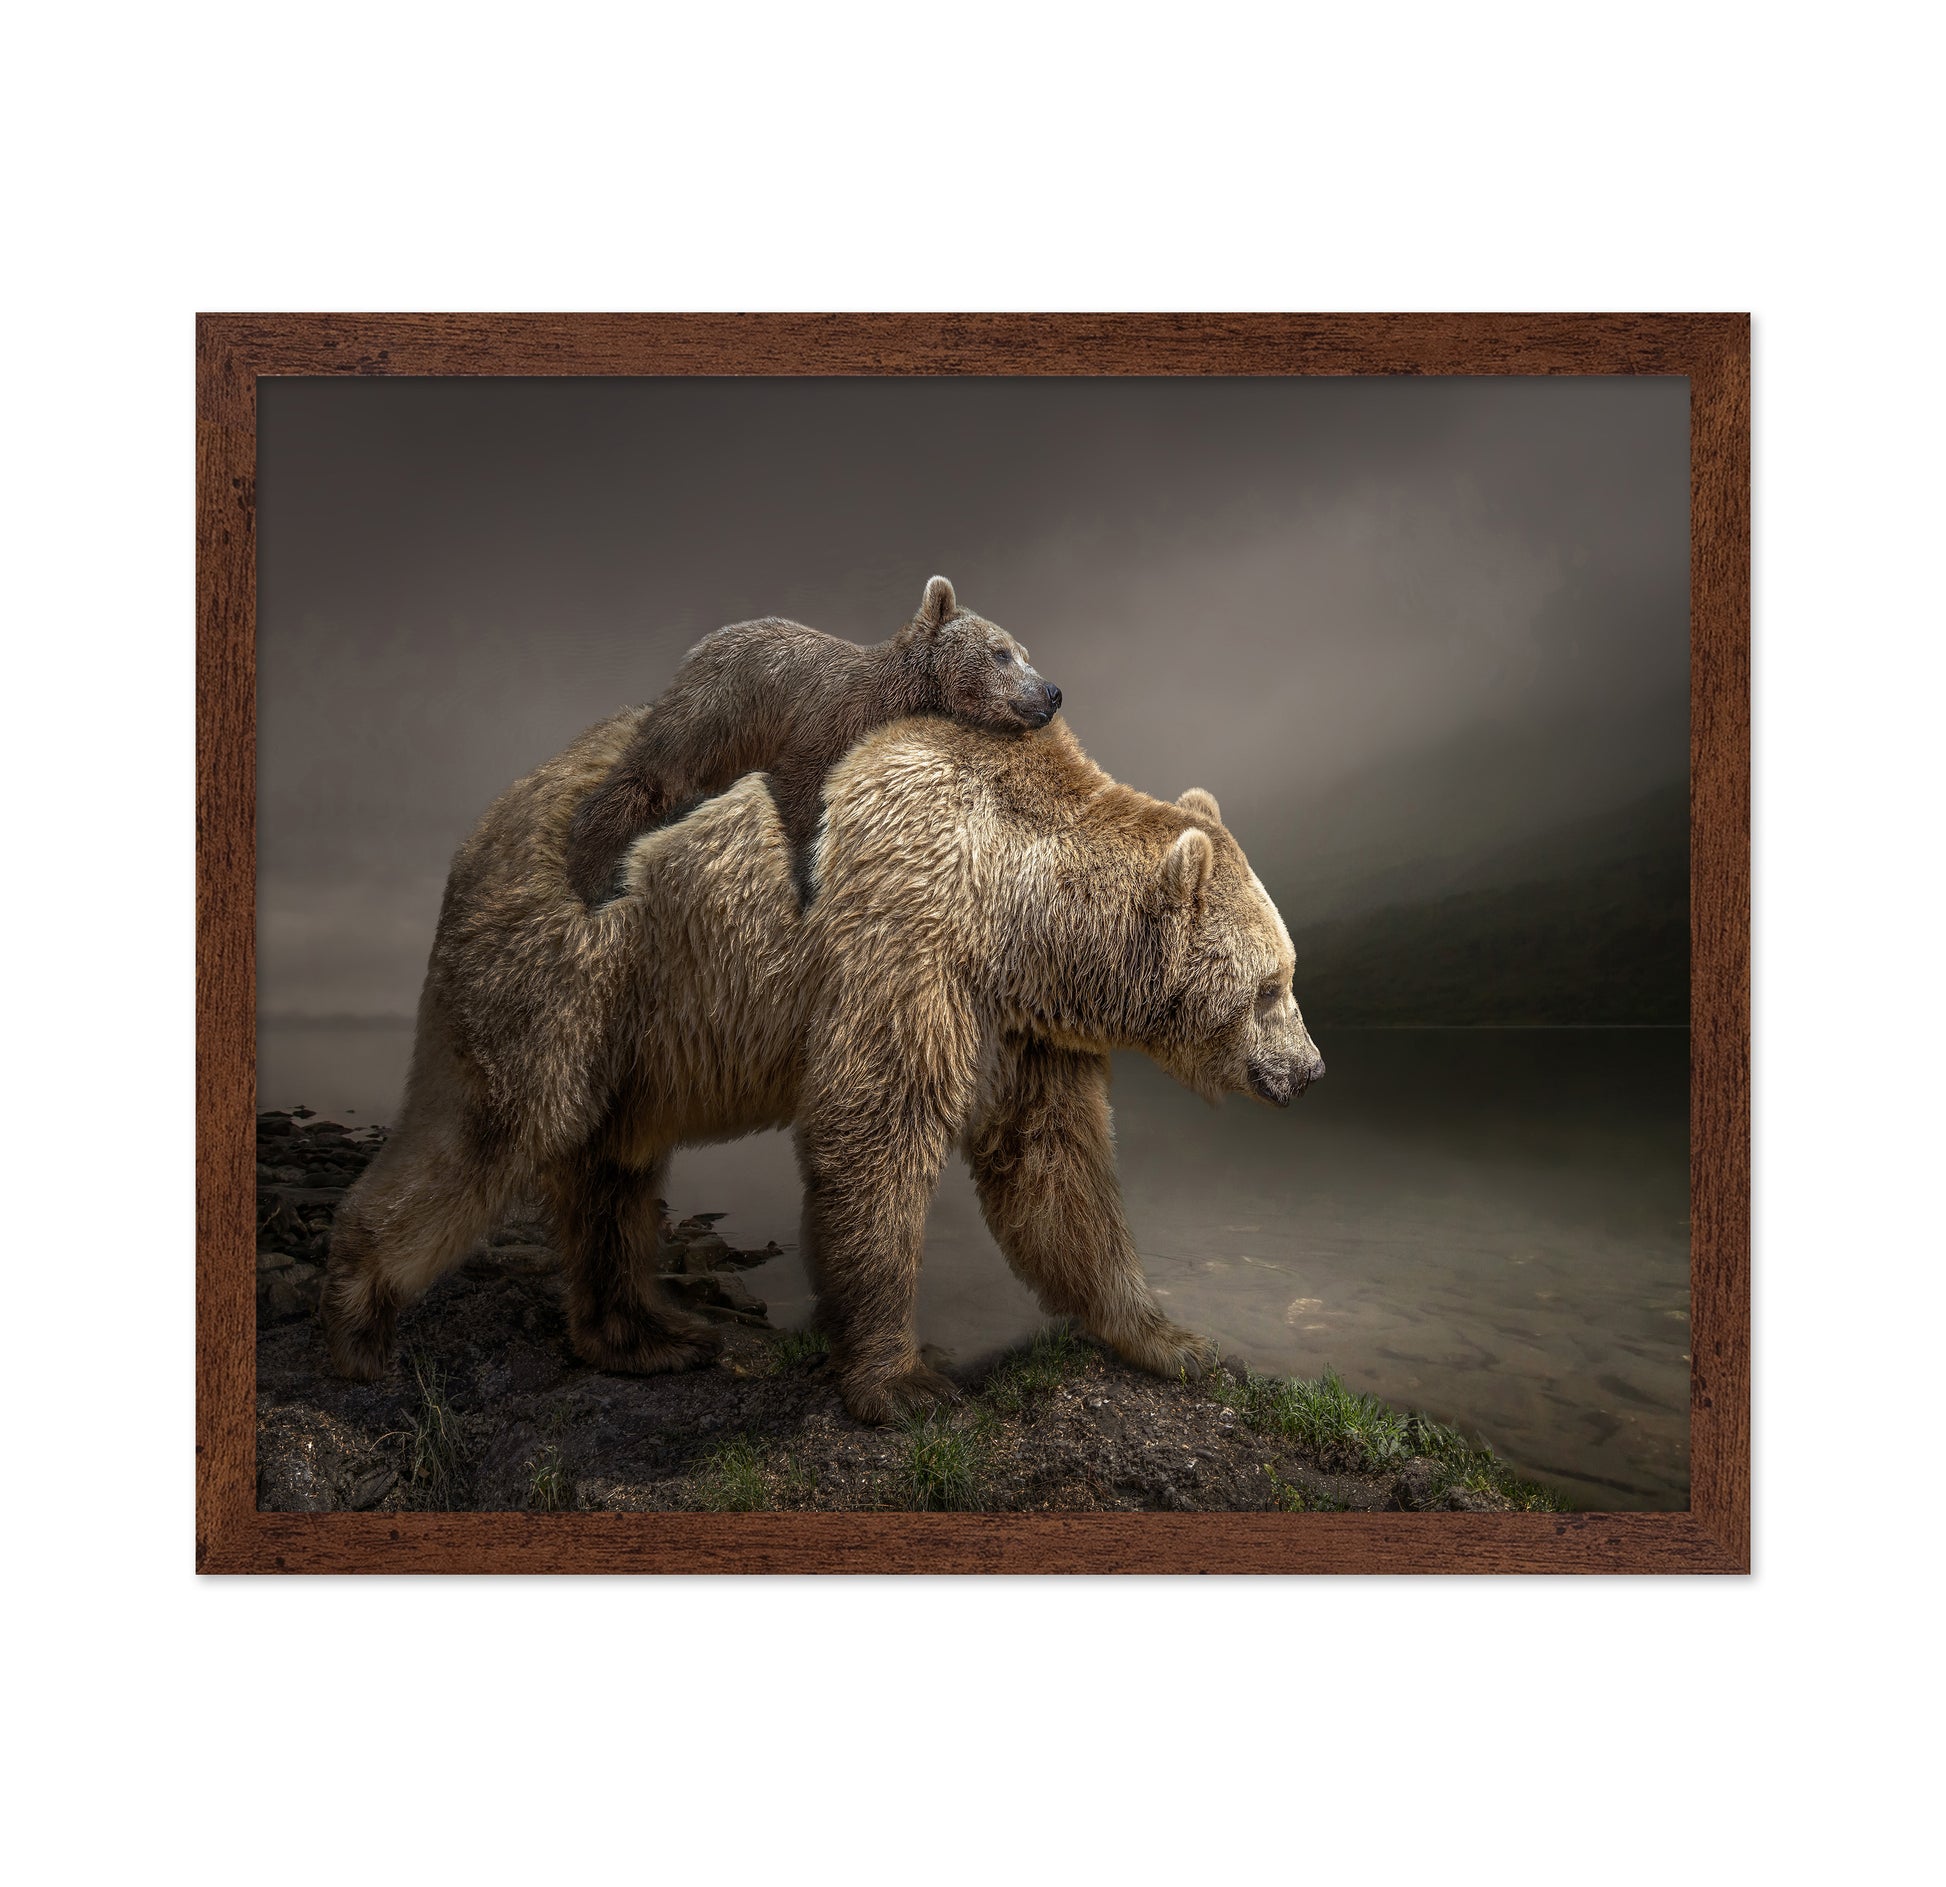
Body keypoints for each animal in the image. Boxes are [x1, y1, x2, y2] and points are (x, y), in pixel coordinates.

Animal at [322, 711, 1324, 1425]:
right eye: (1270, 986)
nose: (1311, 1069)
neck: (1021, 914)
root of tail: (482, 826)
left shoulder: (1025, 1026)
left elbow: (1055, 1167)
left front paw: (1174, 1339)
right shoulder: (907, 938)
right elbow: (875, 1132)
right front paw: (905, 1380)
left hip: (636, 1020)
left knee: (612, 1163)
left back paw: (645, 1331)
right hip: (570, 963)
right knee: (492, 1125)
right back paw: (359, 1313)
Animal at [563, 575, 1060, 905]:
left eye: (1025, 653)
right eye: (1001, 653)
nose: (1051, 692)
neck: (894, 698)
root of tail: (697, 650)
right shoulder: (818, 727)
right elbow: (800, 796)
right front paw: (808, 886)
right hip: (713, 717)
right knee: (651, 777)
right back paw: (594, 874)